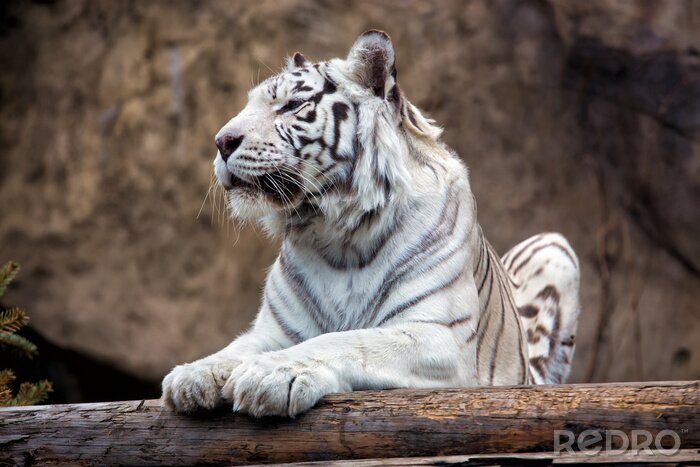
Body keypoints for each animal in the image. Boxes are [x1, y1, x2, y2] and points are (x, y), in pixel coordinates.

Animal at [161, 30, 581, 417]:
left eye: (292, 105)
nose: (221, 141)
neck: (336, 235)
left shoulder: (438, 336)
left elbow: (345, 340)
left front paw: (270, 374)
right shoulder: (276, 329)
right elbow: (237, 347)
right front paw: (193, 374)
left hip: (555, 247)